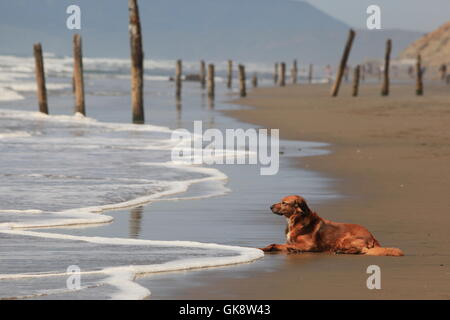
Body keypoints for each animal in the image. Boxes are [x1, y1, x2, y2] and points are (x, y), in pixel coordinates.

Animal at [260, 194, 404, 256]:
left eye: (284, 203)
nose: (270, 207)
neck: (295, 221)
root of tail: (372, 236)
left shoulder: (310, 245)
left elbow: (291, 246)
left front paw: (294, 249)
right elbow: (274, 244)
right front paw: (263, 249)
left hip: (344, 239)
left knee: (361, 250)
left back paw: (341, 251)